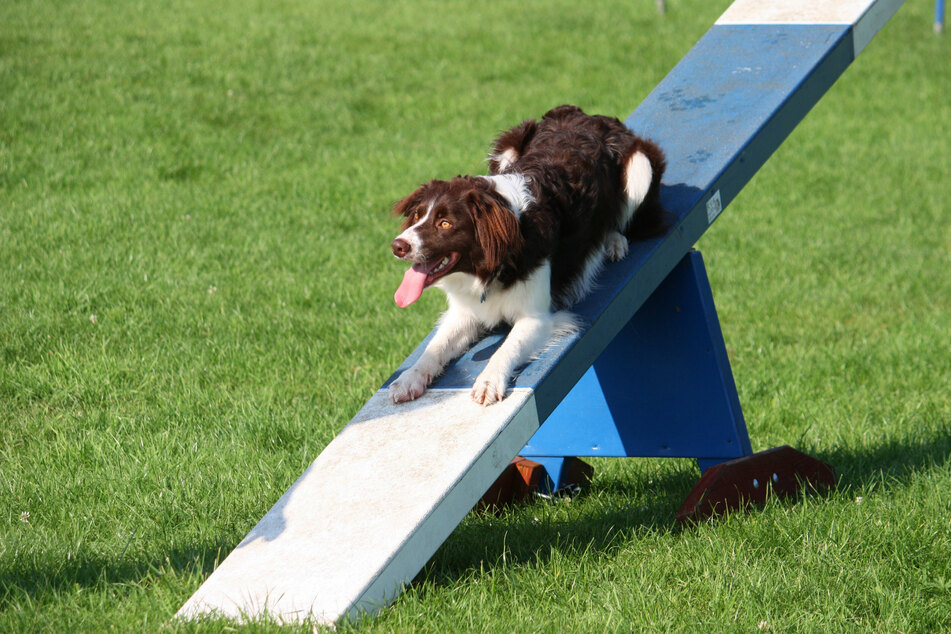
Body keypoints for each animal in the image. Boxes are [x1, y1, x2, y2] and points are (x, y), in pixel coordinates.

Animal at [390, 103, 664, 402]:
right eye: (417, 216)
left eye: (445, 223)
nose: (397, 246)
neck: (490, 264)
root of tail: (586, 114)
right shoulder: (465, 312)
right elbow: (436, 346)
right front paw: (410, 377)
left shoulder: (537, 317)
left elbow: (507, 347)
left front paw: (489, 381)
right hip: (508, 144)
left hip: (641, 164)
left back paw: (613, 241)